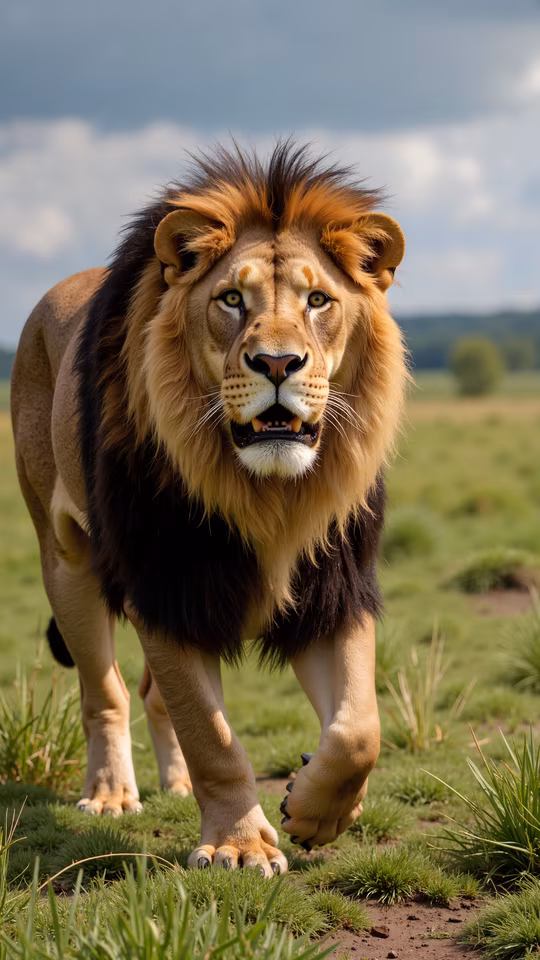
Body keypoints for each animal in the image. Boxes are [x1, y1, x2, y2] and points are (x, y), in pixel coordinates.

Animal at [11, 142, 406, 875]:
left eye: (318, 300)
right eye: (231, 299)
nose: (277, 362)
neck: (267, 493)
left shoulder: (331, 589)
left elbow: (359, 728)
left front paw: (317, 809)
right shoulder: (165, 586)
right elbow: (213, 735)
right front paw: (239, 846)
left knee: (150, 696)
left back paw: (175, 786)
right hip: (66, 561)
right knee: (106, 693)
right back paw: (111, 795)